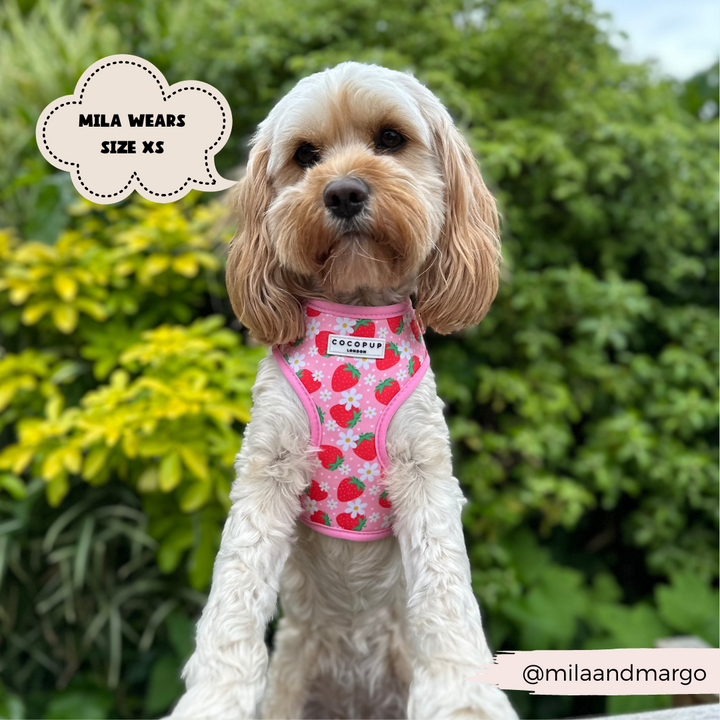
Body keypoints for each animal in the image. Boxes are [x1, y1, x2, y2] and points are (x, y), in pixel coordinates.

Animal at [169, 62, 516, 720]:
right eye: (305, 155)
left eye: (390, 139)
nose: (344, 192)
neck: (353, 320)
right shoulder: (268, 467)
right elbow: (234, 591)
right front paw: (215, 697)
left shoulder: (424, 472)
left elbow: (446, 589)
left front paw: (461, 695)